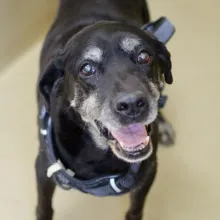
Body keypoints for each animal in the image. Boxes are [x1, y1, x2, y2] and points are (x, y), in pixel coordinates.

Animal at [35, 0, 174, 219]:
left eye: (144, 56)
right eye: (87, 69)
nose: (132, 104)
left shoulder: (149, 172)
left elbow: (135, 210)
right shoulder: (44, 168)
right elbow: (44, 207)